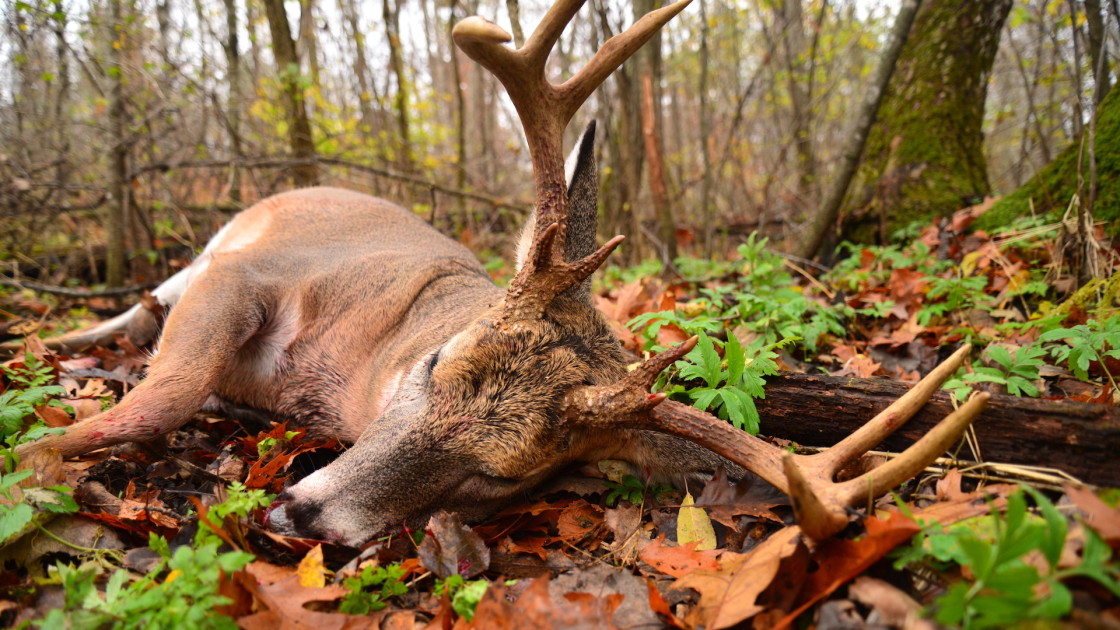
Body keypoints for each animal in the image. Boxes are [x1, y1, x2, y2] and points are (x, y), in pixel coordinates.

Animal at [10, 0, 990, 544]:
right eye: (436, 363)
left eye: (502, 477)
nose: (300, 515)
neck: (343, 374)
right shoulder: (248, 275)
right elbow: (167, 394)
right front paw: (33, 460)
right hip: (211, 249)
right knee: (143, 303)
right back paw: (55, 339)